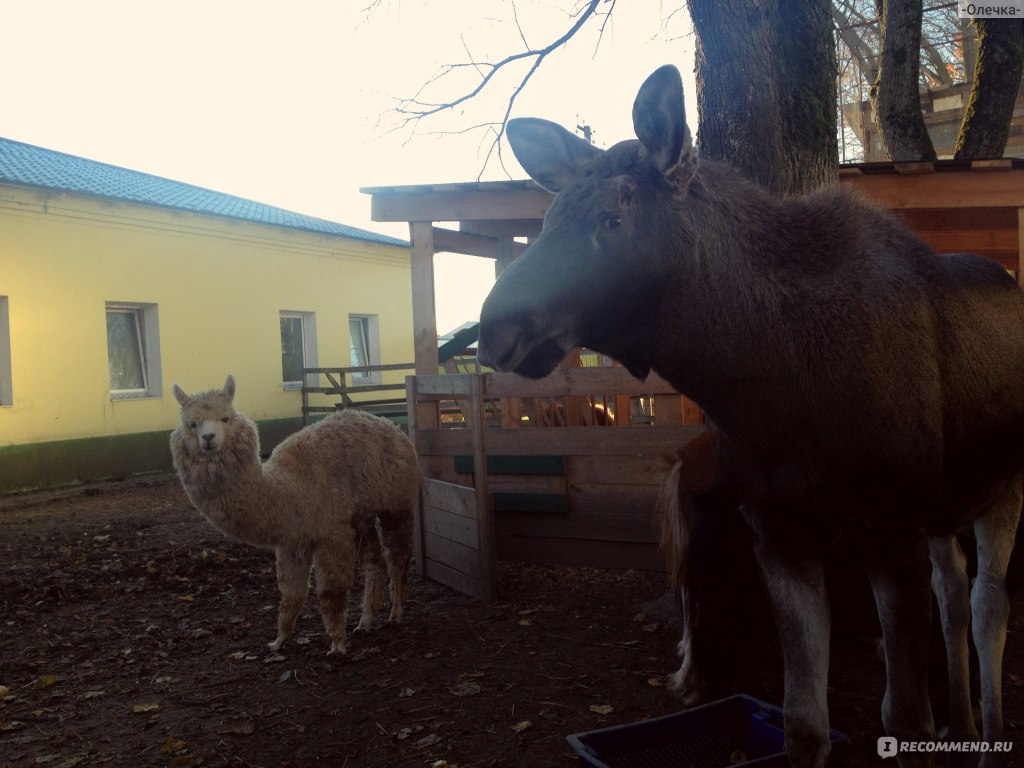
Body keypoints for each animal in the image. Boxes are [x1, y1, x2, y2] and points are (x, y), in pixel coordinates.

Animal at [479, 63, 1024, 765]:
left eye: (611, 219)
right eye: (548, 219)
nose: (493, 328)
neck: (771, 392)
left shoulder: (890, 540)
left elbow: (902, 717)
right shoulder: (781, 539)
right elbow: (804, 723)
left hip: (1001, 488)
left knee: (987, 607)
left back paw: (986, 732)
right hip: (942, 508)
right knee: (955, 594)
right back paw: (962, 721)